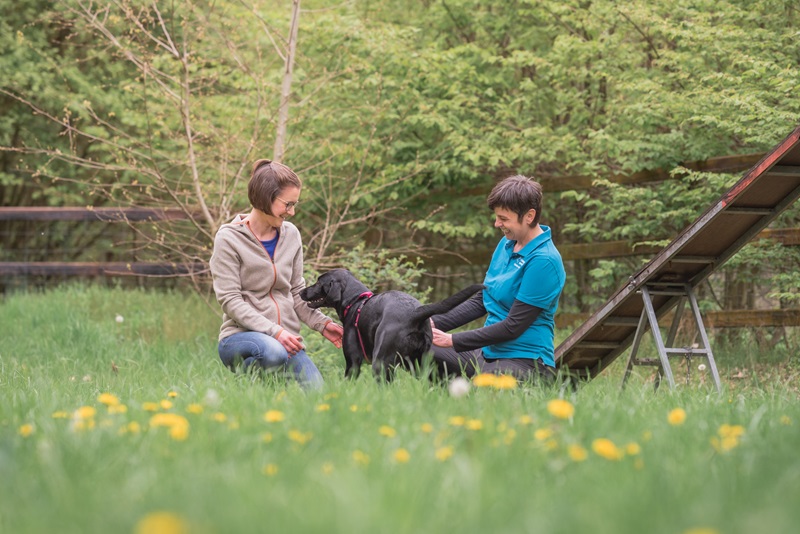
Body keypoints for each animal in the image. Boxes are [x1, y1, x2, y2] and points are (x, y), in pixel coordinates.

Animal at [302, 270, 482, 384]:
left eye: (318, 282)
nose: (301, 291)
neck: (355, 301)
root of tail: (415, 312)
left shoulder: (353, 362)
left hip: (381, 361)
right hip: (421, 362)